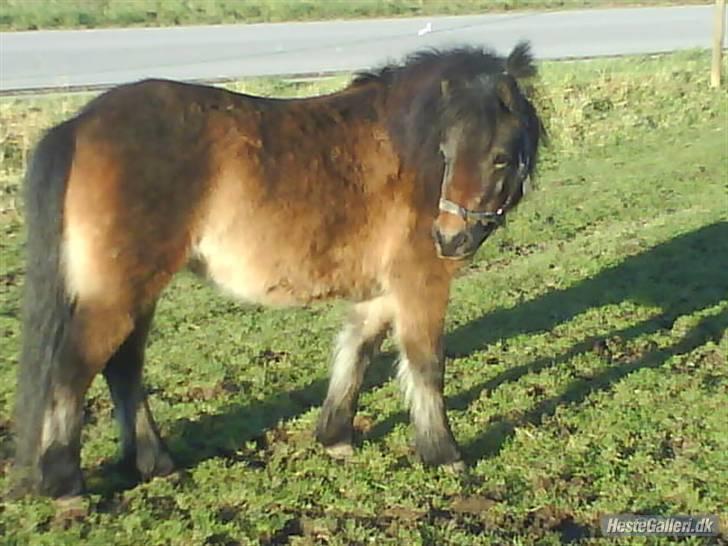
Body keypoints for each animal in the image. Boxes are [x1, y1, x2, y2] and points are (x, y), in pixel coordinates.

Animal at [9, 40, 544, 498]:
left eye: (500, 158)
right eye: (447, 152)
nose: (450, 238)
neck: (410, 152)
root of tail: (79, 125)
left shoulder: (381, 287)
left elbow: (357, 347)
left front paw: (335, 437)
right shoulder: (420, 281)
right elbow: (426, 362)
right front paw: (444, 453)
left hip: (136, 289)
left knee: (123, 368)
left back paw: (155, 464)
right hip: (119, 291)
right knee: (74, 367)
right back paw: (65, 484)